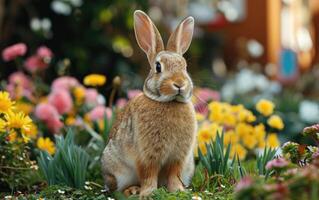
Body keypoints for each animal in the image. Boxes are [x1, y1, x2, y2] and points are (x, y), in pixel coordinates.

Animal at [102, 10, 198, 198]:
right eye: (158, 67)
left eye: (184, 66)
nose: (179, 84)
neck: (169, 102)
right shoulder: (147, 155)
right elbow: (148, 173)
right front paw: (148, 193)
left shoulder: (178, 157)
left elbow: (174, 174)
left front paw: (178, 191)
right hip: (117, 169)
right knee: (117, 189)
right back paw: (132, 190)